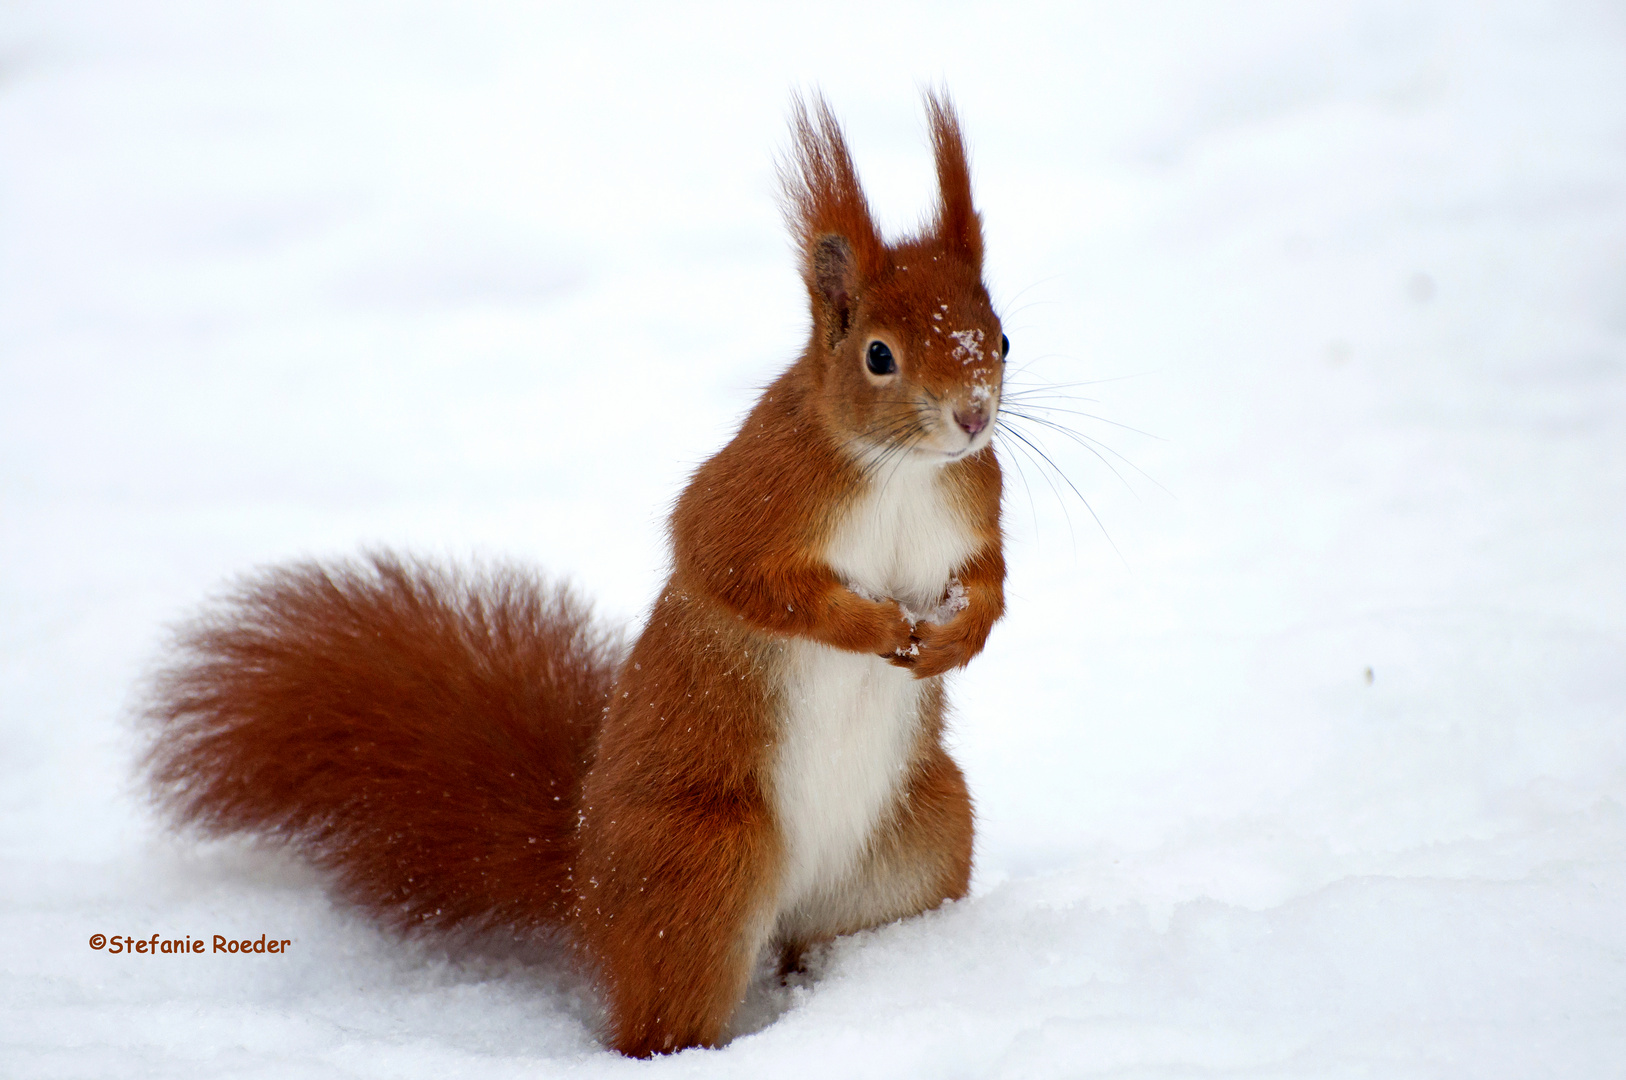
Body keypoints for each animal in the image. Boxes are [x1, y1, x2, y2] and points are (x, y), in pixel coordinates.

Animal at [146, 92, 1001, 1053]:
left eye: (1002, 338)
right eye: (879, 356)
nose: (973, 417)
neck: (904, 473)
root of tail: (585, 882)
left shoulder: (976, 501)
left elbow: (993, 578)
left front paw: (958, 636)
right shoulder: (754, 496)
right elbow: (736, 572)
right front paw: (875, 625)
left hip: (922, 840)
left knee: (826, 939)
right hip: (703, 868)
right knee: (661, 1015)